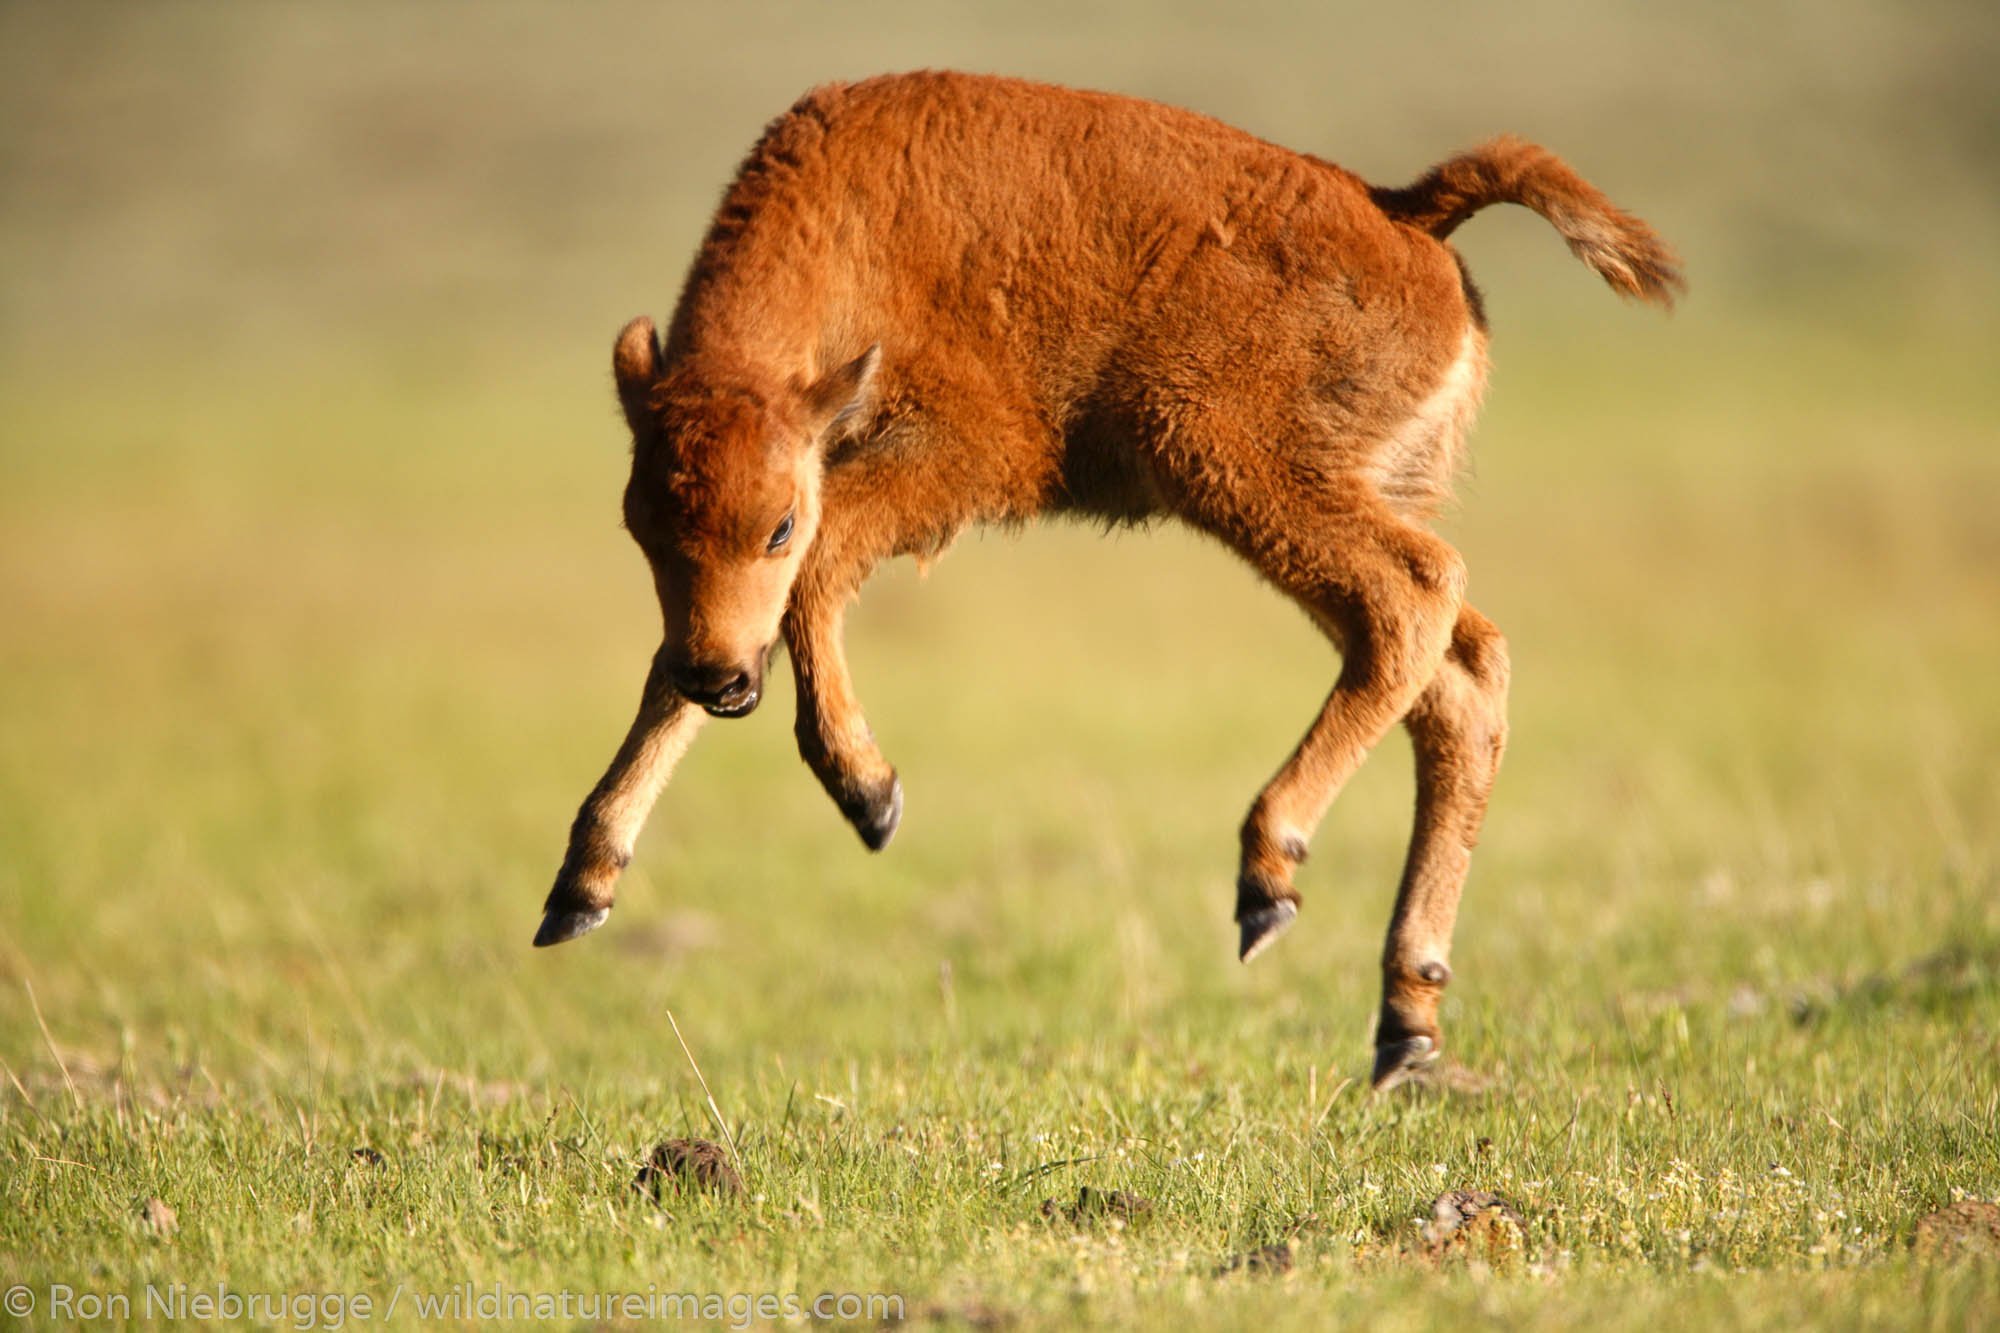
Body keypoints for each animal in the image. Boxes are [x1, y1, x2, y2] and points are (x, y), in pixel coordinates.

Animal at [528, 72, 1672, 1088]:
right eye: (639, 525)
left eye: (774, 524)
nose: (722, 682)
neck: (851, 234)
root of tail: (1400, 213)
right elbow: (685, 653)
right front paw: (579, 885)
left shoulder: (960, 457)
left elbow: (814, 576)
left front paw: (868, 792)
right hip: (1315, 499)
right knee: (1456, 672)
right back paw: (1404, 1023)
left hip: (1230, 461)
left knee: (1414, 598)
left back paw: (1268, 875)